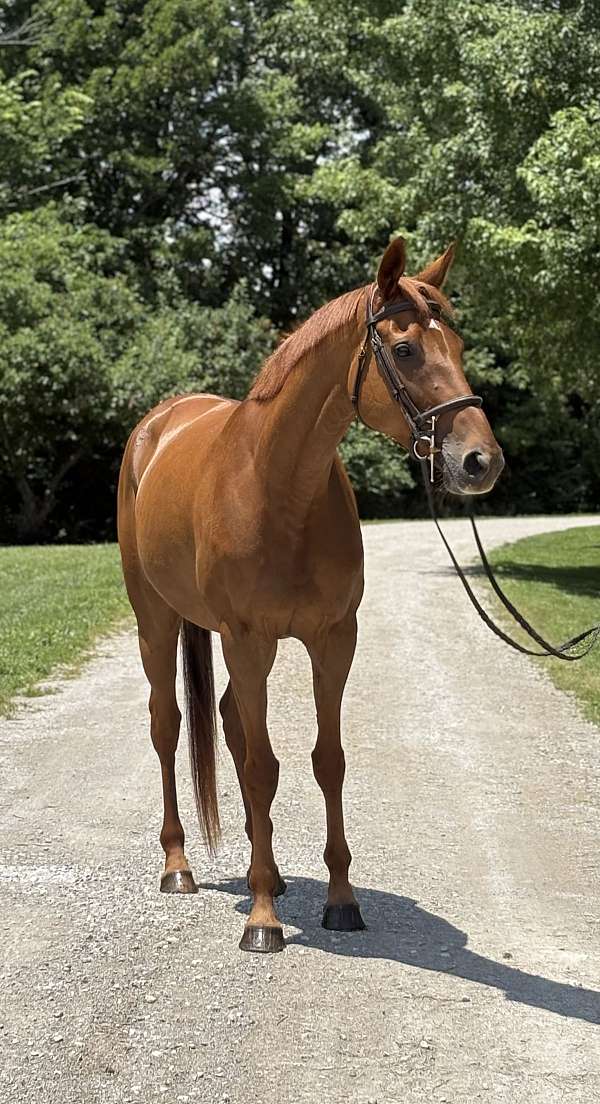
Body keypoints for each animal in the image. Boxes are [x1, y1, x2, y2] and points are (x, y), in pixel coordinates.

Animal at [117, 237, 504, 953]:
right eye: (406, 349)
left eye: (460, 345)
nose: (478, 462)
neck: (276, 485)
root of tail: (159, 424)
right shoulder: (248, 640)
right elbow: (264, 767)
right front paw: (264, 920)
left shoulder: (333, 639)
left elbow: (328, 761)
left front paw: (340, 901)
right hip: (156, 621)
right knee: (168, 725)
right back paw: (180, 866)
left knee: (227, 720)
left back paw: (258, 869)